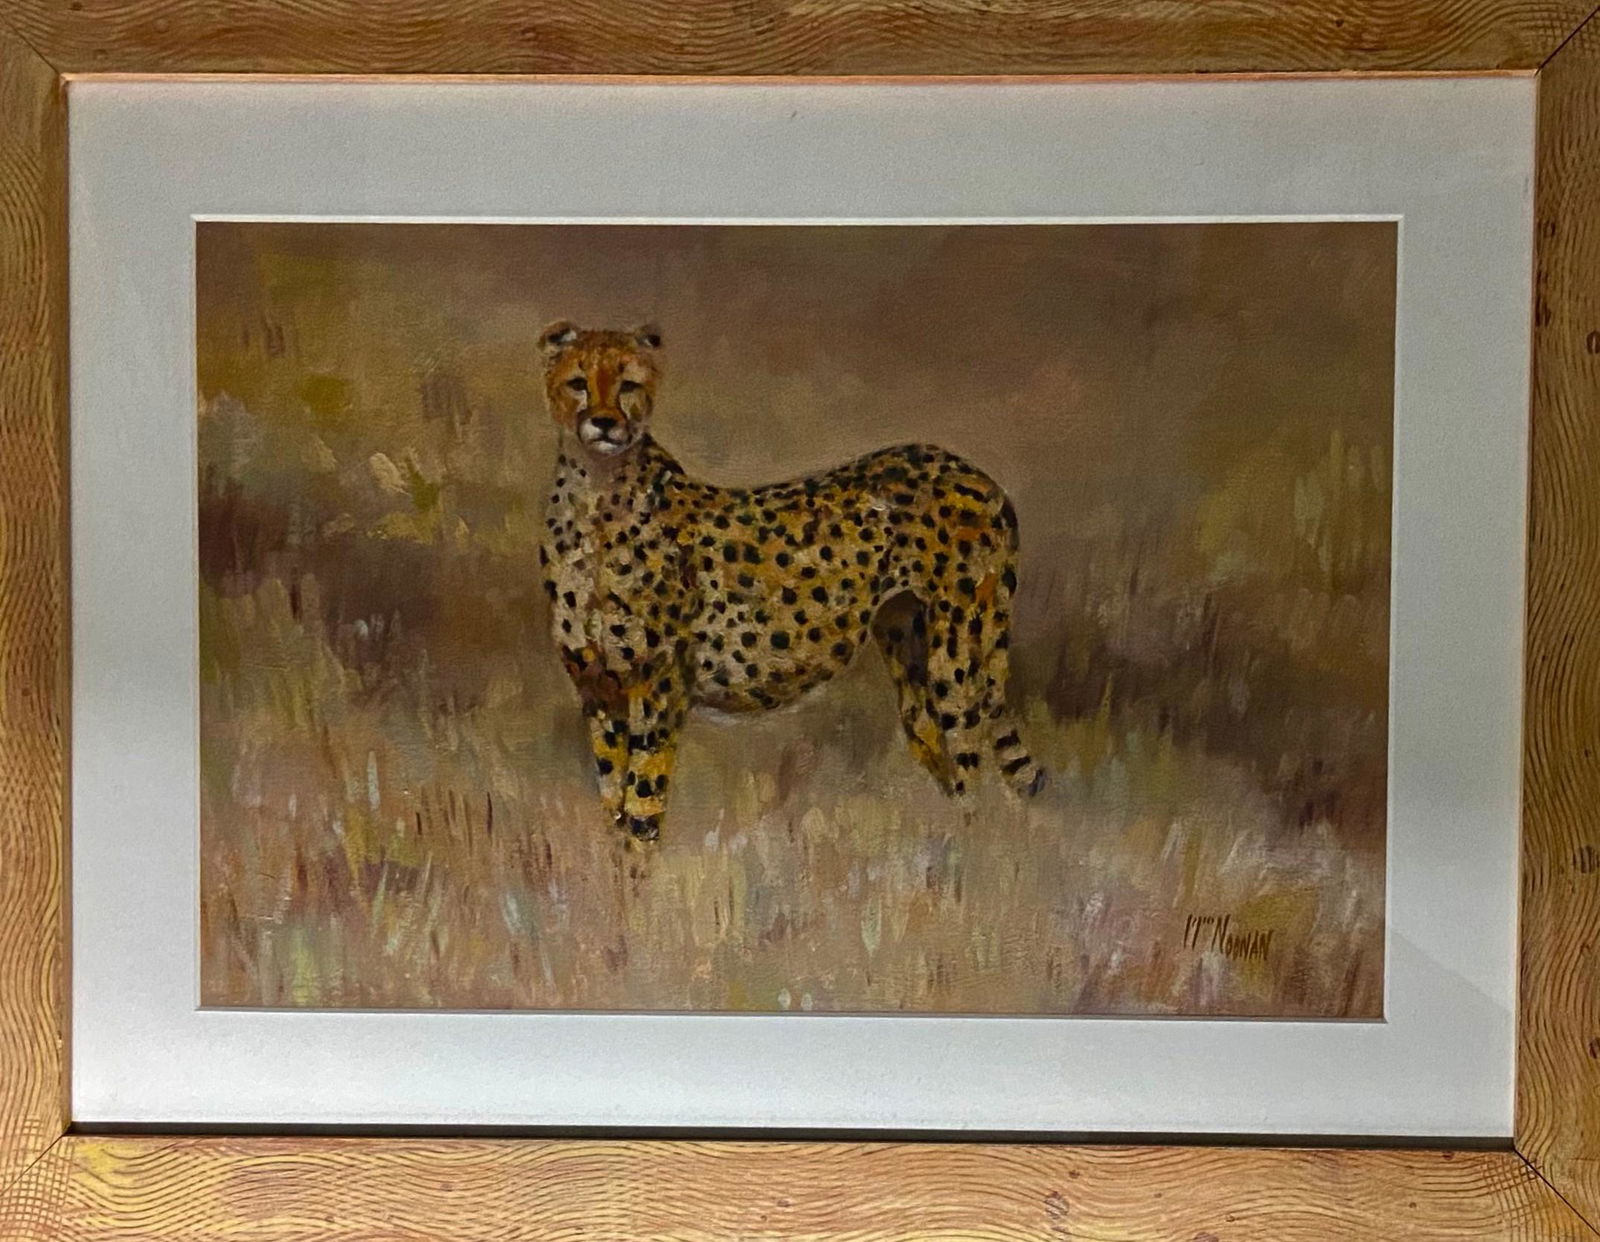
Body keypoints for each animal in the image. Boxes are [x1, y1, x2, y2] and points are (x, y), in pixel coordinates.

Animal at [536, 320, 1044, 843]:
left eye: (628, 385)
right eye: (578, 382)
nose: (604, 423)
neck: (596, 498)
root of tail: (968, 468)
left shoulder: (658, 689)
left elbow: (641, 805)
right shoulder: (599, 693)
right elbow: (613, 805)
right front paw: (612, 865)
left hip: (958, 656)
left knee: (969, 765)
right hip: (907, 640)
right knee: (932, 740)